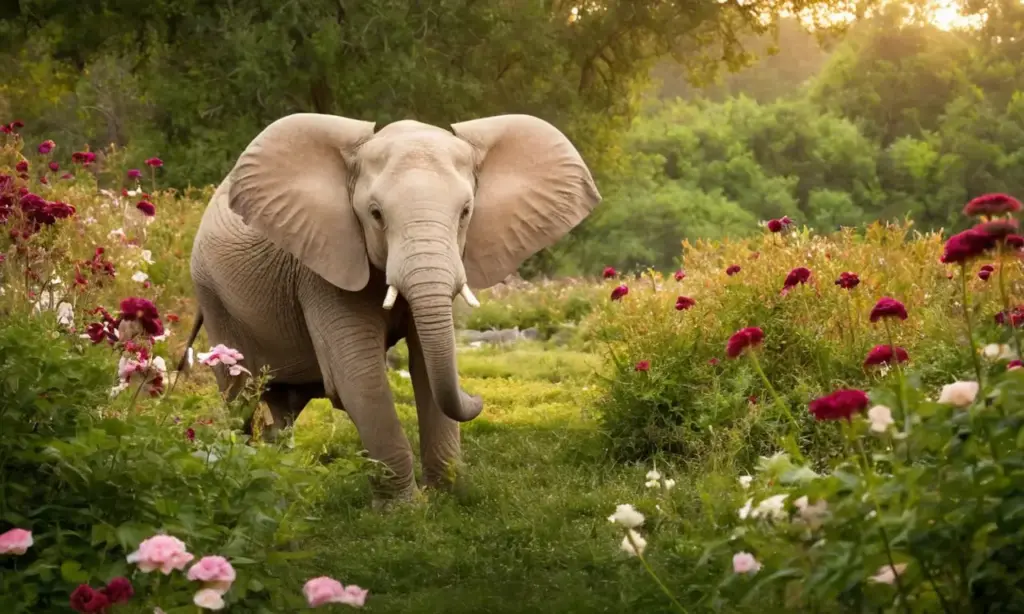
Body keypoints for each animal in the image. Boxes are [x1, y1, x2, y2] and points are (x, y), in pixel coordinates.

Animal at [177, 112, 601, 500]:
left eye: (466, 212)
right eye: (376, 215)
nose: (478, 397)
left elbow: (426, 365)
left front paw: (447, 495)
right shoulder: (323, 269)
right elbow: (360, 377)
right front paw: (405, 509)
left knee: (282, 407)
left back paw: (281, 477)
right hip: (214, 297)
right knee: (239, 399)